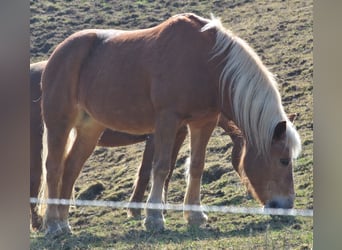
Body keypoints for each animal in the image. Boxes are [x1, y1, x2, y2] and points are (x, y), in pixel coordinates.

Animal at [30, 60, 243, 230]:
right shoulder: (156, 136)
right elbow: (147, 171)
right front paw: (138, 210)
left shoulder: (178, 134)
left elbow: (167, 169)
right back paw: (39, 223)